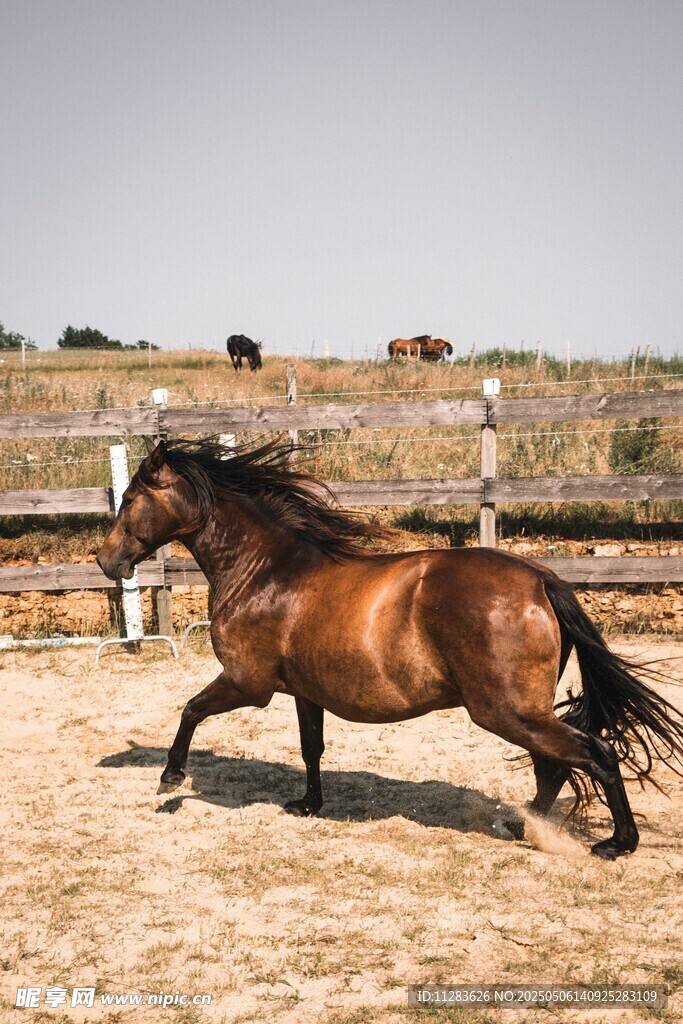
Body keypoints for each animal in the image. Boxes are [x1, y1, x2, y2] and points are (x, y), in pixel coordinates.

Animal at [96, 438, 683, 859]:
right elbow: (312, 748)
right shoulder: (303, 691)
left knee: (593, 754)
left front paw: (171, 778)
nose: (106, 561)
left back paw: (615, 843)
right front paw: (307, 805)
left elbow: (191, 709)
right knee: (555, 765)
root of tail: (542, 579)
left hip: (506, 711)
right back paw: (523, 826)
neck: (264, 570)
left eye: (129, 499)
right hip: (522, 712)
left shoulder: (248, 683)